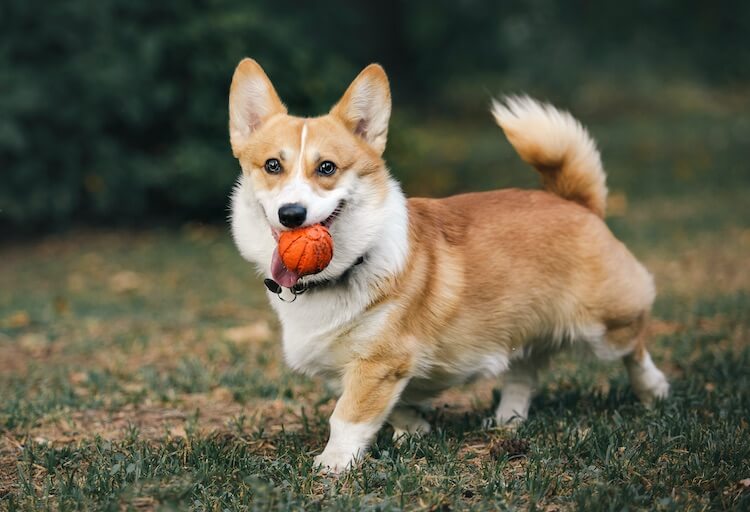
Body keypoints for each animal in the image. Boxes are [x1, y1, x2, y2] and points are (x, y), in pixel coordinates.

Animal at [228, 59, 668, 472]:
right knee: (524, 370)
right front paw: (415, 429)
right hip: (521, 325)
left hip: (604, 326)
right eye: (272, 165)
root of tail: (577, 202)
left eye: (327, 168)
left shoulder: (380, 362)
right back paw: (507, 419)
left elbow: (348, 416)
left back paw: (654, 390)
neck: (345, 267)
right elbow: (389, 404)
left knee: (634, 346)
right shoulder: (363, 368)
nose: (291, 215)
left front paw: (333, 464)